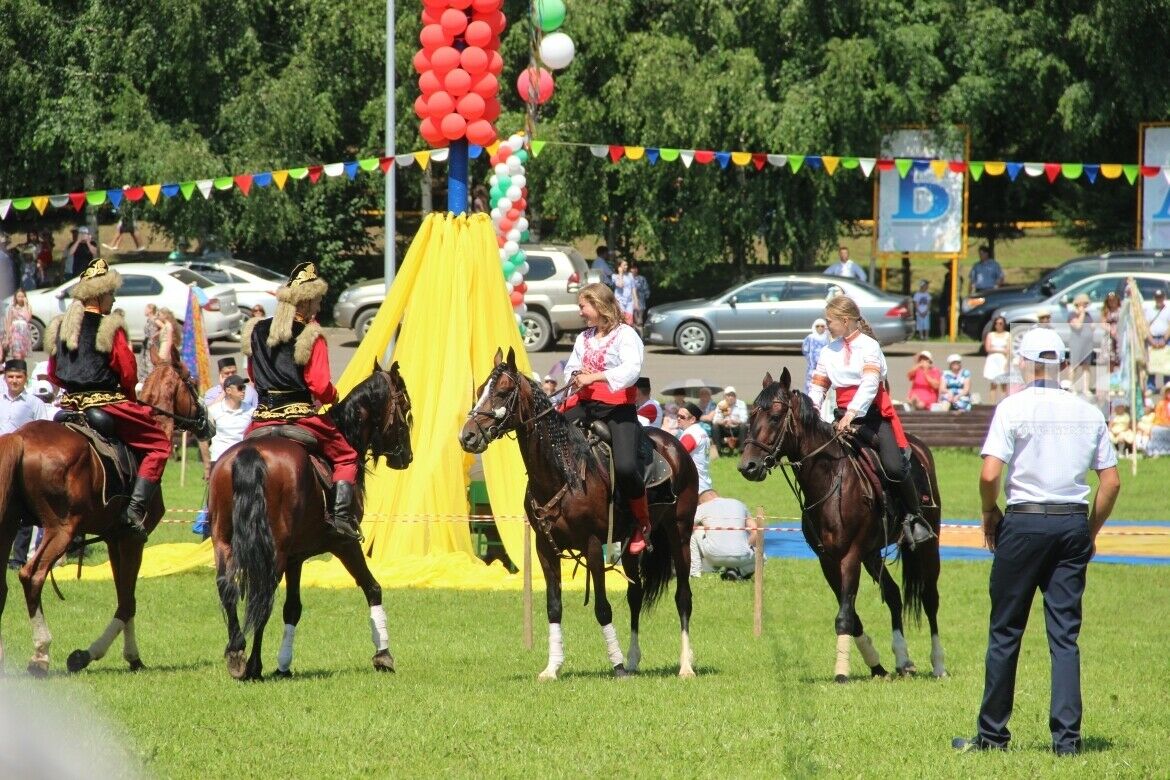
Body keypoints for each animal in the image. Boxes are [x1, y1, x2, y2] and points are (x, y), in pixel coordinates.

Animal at [0, 364, 210, 678]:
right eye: (193, 383)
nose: (207, 422)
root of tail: (20, 438)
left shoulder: (113, 538)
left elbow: (124, 596)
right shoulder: (132, 539)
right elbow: (128, 602)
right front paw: (103, 655)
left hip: (8, 526)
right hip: (60, 529)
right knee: (32, 575)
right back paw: (40, 654)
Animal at [208, 362, 414, 678]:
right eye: (405, 405)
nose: (407, 456)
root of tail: (250, 454)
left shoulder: (296, 557)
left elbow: (292, 608)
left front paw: (283, 664)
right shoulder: (344, 544)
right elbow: (373, 588)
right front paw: (383, 656)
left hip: (224, 541)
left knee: (228, 587)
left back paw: (236, 653)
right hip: (274, 551)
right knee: (262, 595)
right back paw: (253, 665)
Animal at [456, 350, 697, 678]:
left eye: (503, 392)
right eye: (481, 389)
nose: (467, 436)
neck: (563, 470)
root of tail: (674, 446)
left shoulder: (593, 546)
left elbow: (602, 607)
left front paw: (616, 666)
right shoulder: (545, 549)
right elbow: (553, 607)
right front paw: (552, 667)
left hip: (680, 534)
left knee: (683, 597)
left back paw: (685, 665)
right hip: (630, 546)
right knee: (635, 595)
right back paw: (634, 659)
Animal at [739, 371, 950, 682]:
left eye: (776, 416)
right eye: (752, 414)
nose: (748, 466)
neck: (831, 478)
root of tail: (920, 448)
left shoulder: (849, 556)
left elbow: (845, 616)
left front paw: (841, 672)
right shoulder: (827, 559)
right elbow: (853, 616)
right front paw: (876, 666)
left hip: (927, 546)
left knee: (930, 598)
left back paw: (938, 665)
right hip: (872, 554)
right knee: (894, 595)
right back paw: (903, 660)